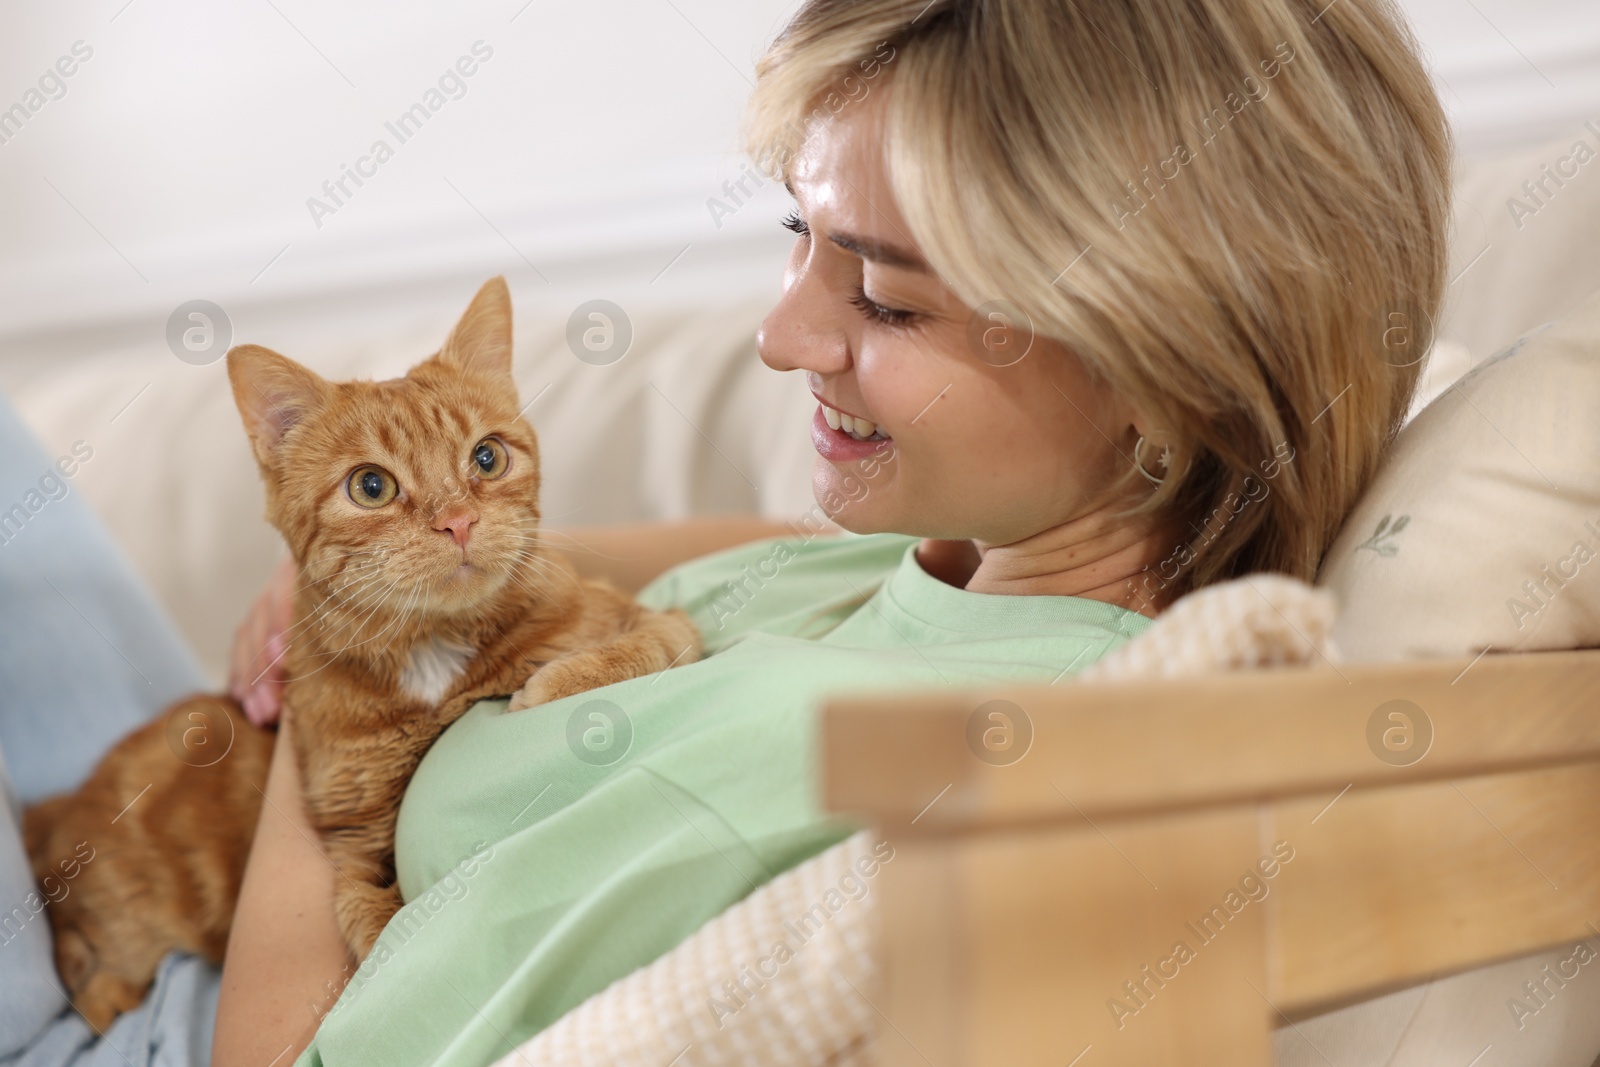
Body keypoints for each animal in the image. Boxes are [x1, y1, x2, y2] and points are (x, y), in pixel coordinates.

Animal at [21, 279, 700, 1030]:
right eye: (371, 487)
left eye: (487, 458)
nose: (457, 521)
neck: (434, 654)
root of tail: (57, 804)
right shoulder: (354, 838)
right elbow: (379, 930)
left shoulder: (657, 621)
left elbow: (643, 643)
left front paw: (548, 683)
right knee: (85, 968)